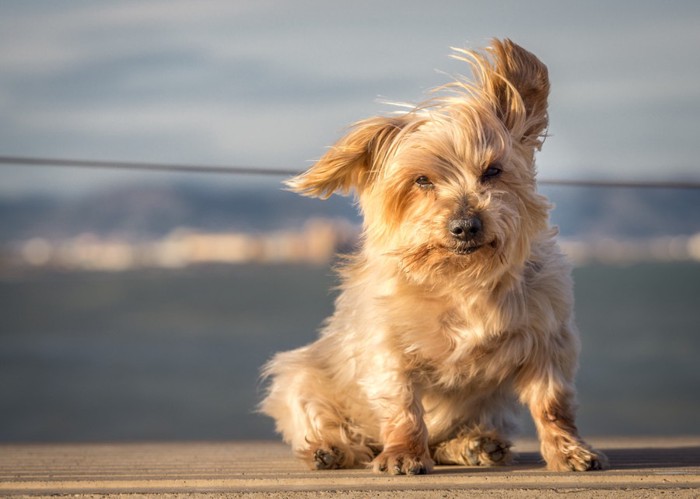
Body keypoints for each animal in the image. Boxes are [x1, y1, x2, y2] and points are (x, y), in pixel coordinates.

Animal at [260, 40, 608, 476]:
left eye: (492, 171)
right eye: (422, 180)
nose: (465, 225)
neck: (460, 278)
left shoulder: (547, 340)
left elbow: (553, 404)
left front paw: (569, 450)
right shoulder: (387, 349)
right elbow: (402, 406)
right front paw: (403, 453)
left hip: (491, 405)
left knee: (454, 437)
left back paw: (473, 445)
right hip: (297, 376)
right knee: (328, 423)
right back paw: (330, 449)